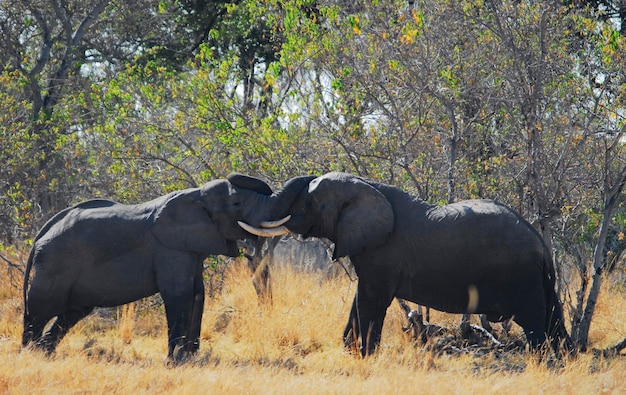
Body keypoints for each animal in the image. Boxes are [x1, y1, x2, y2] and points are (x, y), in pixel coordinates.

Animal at [21, 175, 280, 364]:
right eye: (237, 204)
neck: (197, 195)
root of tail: (39, 237)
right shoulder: (170, 249)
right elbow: (179, 294)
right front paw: (176, 362)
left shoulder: (190, 248)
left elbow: (198, 294)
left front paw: (192, 359)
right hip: (54, 265)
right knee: (39, 310)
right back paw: (29, 353)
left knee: (72, 313)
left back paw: (45, 352)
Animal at [236, 172, 572, 358]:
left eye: (309, 204)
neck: (369, 187)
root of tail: (541, 245)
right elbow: (360, 299)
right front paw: (350, 351)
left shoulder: (383, 253)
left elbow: (371, 301)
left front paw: (364, 356)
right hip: (537, 279)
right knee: (553, 319)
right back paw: (565, 358)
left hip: (521, 276)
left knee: (535, 326)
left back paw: (542, 362)